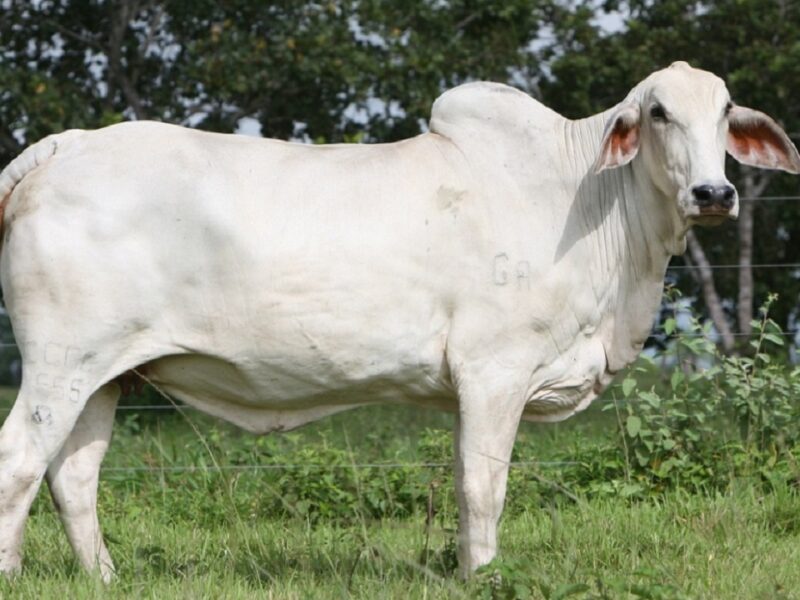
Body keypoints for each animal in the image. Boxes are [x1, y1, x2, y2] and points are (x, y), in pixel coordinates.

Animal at [0, 62, 798, 581]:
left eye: (726, 111)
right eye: (659, 112)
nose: (714, 192)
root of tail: (67, 143)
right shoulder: (493, 371)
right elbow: (482, 488)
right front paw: (482, 578)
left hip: (106, 375)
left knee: (73, 477)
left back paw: (104, 578)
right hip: (59, 364)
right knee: (19, 461)